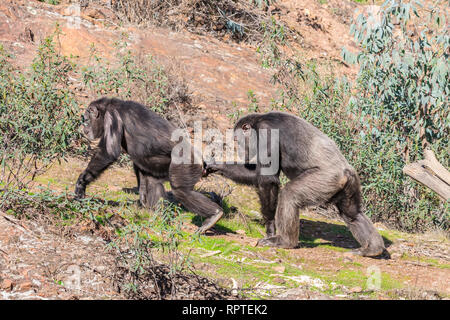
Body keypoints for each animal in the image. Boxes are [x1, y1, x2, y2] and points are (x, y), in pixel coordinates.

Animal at [74, 97, 224, 232]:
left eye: (86, 120)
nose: (84, 129)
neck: (106, 108)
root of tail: (201, 160)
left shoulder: (112, 117)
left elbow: (109, 152)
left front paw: (81, 183)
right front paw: (141, 196)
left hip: (186, 164)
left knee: (181, 191)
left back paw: (214, 215)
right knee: (154, 183)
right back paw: (157, 216)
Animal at [206, 111, 384, 256]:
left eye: (238, 140)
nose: (239, 148)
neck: (258, 123)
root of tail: (345, 172)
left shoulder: (266, 133)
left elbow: (268, 179)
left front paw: (270, 227)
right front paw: (215, 165)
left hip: (324, 180)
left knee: (289, 195)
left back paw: (285, 241)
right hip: (349, 186)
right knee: (352, 214)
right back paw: (372, 248)